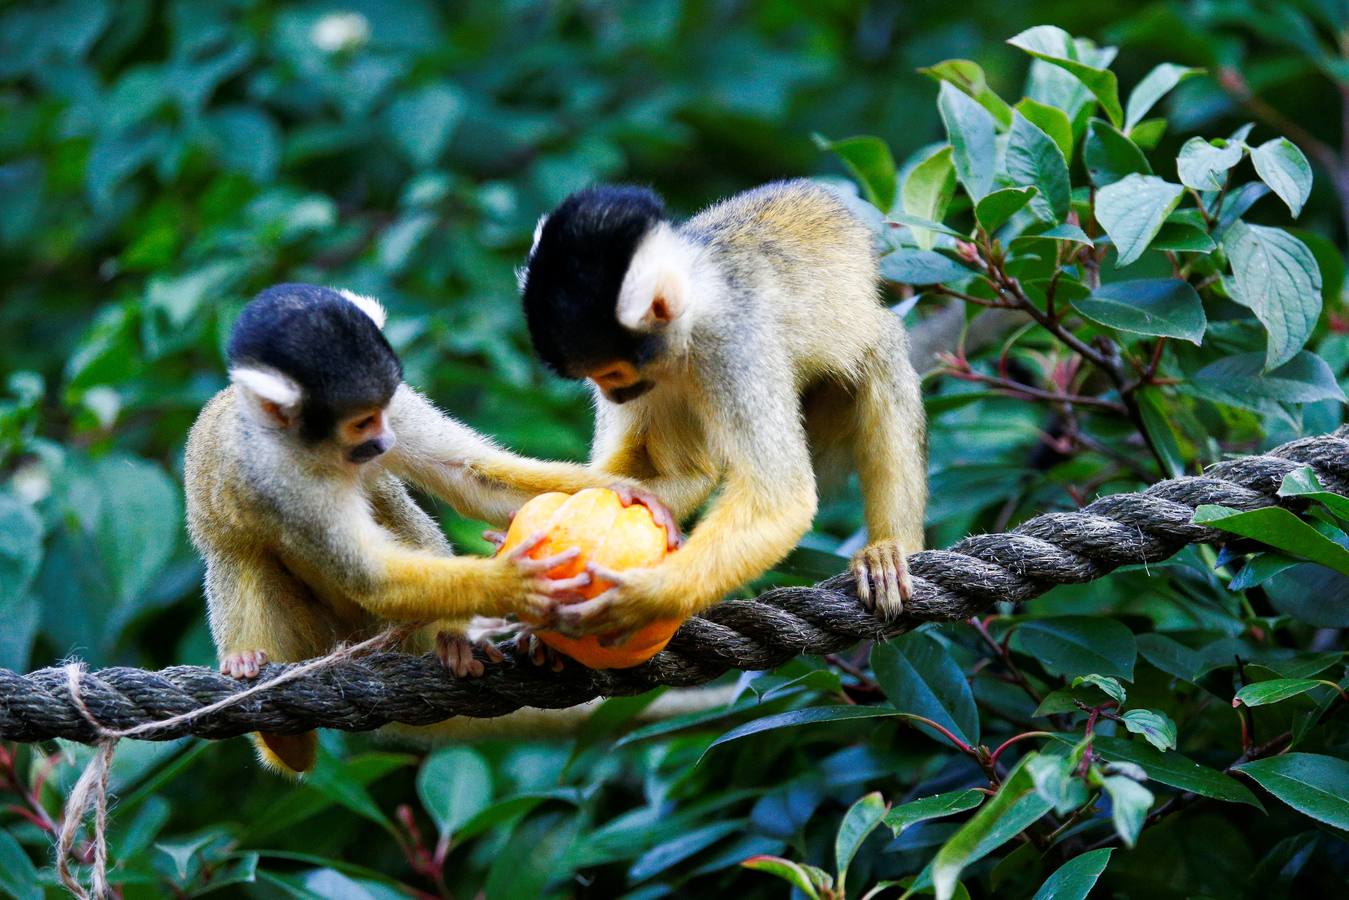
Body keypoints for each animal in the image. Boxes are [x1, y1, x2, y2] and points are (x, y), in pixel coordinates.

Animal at [185, 283, 678, 774]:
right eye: (361, 422)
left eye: (381, 412)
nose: (384, 441)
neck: (315, 445)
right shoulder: (280, 476)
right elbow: (370, 575)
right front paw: (511, 582)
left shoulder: (399, 403)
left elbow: (469, 474)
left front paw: (627, 491)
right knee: (240, 555)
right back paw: (280, 731)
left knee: (384, 499)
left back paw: (450, 641)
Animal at [518, 179, 927, 639]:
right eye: (597, 378)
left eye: (612, 373)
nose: (610, 395)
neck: (692, 314)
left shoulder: (733, 344)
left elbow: (779, 499)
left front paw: (640, 598)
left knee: (879, 351)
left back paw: (890, 548)